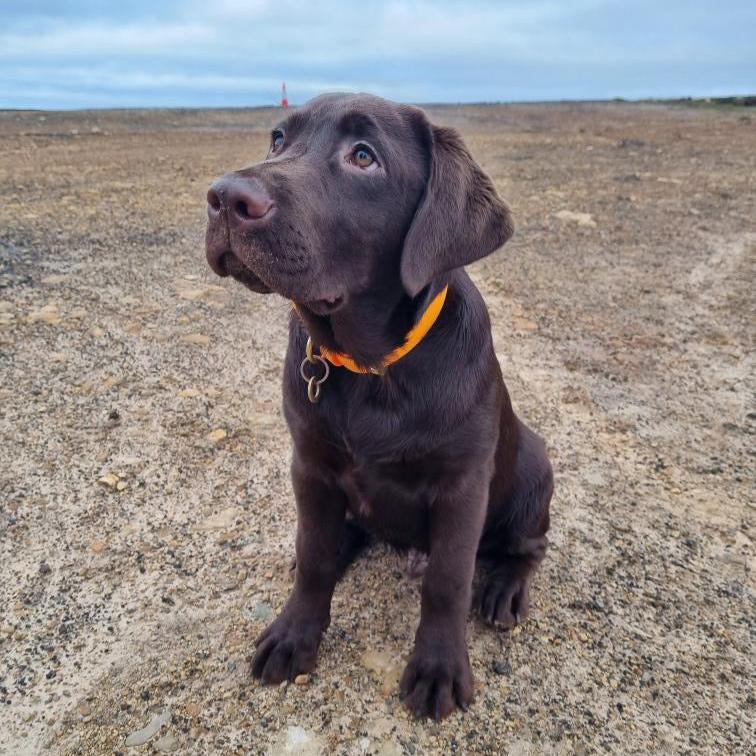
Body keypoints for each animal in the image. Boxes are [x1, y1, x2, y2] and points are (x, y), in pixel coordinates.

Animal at [204, 91, 552, 716]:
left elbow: (448, 581)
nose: (223, 198)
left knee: (528, 545)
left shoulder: (463, 486)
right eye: (277, 139)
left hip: (536, 465)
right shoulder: (309, 464)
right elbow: (314, 556)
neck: (370, 367)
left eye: (364, 156)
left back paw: (506, 588)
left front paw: (439, 669)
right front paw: (294, 635)